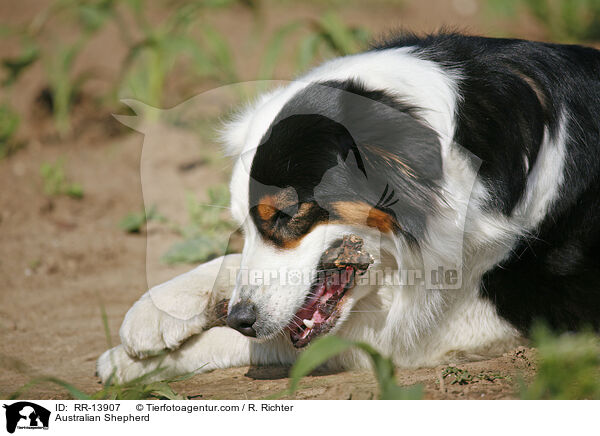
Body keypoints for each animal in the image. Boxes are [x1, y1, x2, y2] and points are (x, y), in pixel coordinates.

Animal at [96, 32, 596, 384]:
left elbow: (269, 340)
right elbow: (235, 266)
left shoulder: (452, 323)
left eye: (285, 215)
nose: (241, 319)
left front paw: (128, 363)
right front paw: (153, 313)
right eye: (245, 223)